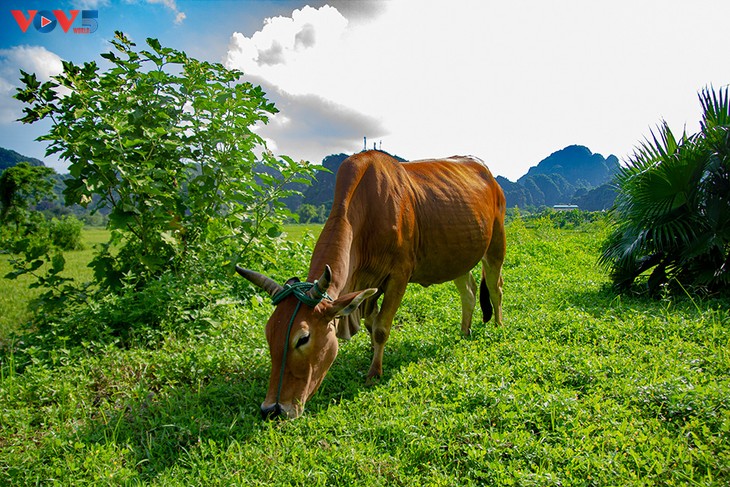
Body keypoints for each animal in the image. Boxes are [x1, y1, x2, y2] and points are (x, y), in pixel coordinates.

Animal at [236, 152, 504, 420]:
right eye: (269, 333)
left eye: (303, 339)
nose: (273, 409)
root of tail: (487, 173)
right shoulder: (367, 289)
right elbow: (370, 324)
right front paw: (372, 353)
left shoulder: (399, 276)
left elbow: (381, 328)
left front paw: (374, 373)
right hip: (458, 257)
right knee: (469, 293)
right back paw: (464, 331)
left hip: (496, 246)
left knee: (495, 289)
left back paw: (499, 327)